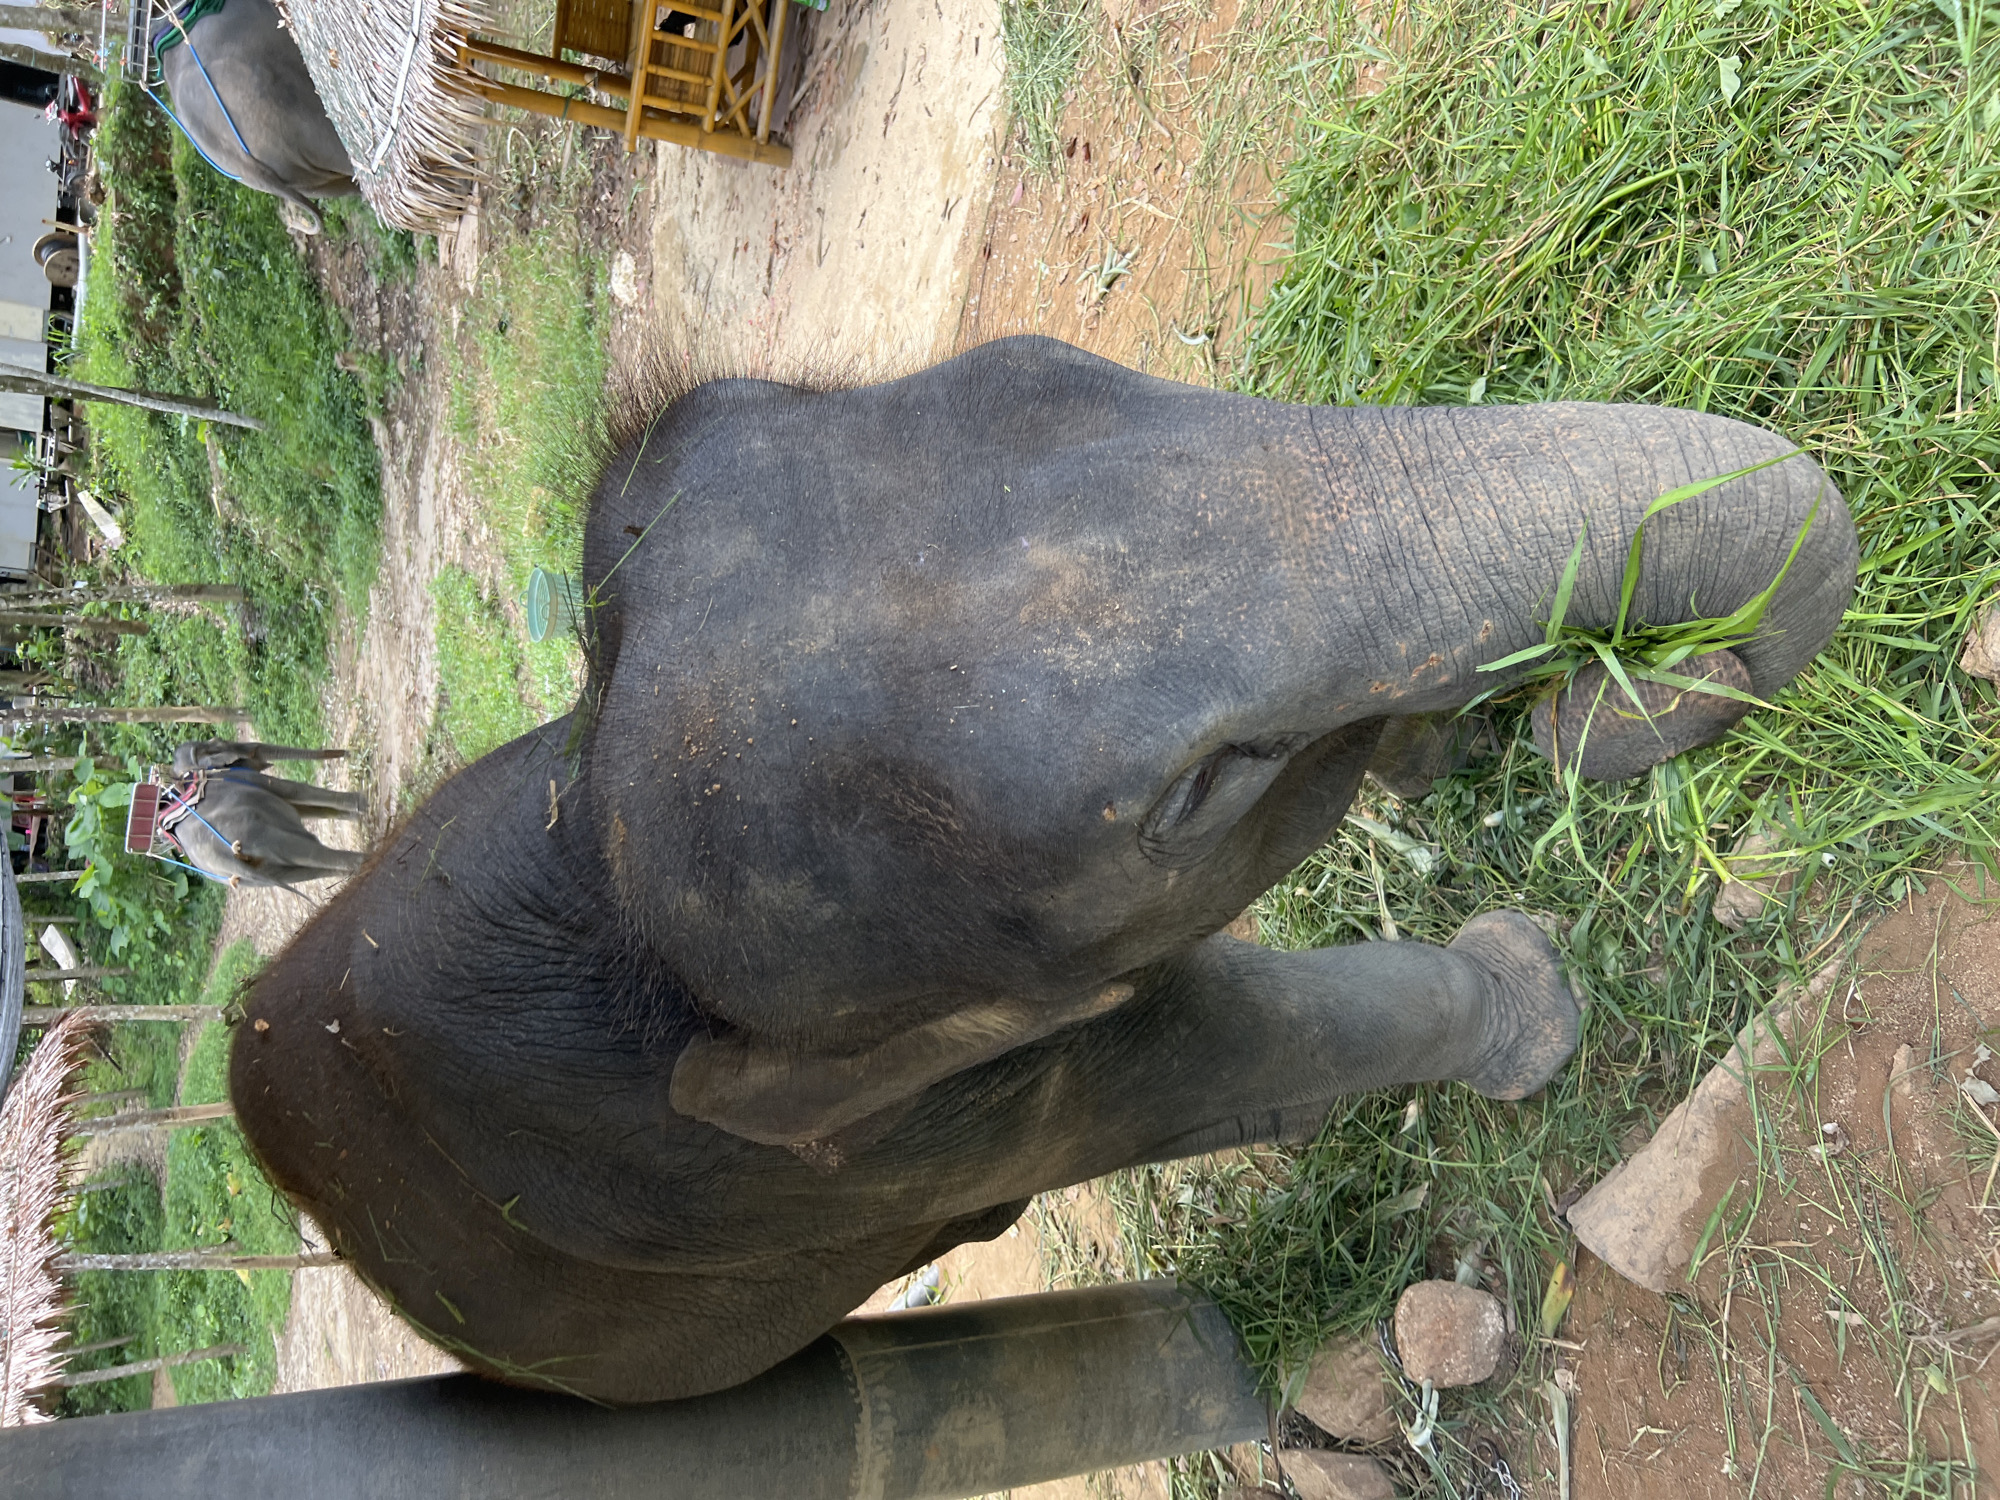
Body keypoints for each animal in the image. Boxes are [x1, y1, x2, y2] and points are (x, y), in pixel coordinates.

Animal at [162, 741, 364, 888]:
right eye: (220, 743)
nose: (349, 752)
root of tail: (226, 861)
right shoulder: (239, 776)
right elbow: (292, 791)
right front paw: (364, 804)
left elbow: (302, 808)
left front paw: (359, 816)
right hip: (262, 835)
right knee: (309, 850)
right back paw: (366, 858)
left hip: (251, 878)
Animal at [228, 337, 1858, 1404]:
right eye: (1208, 786)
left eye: (1079, 363)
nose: (1603, 702)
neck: (598, 853)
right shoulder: (896, 1123)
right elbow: (1229, 1054)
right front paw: (1530, 1002)